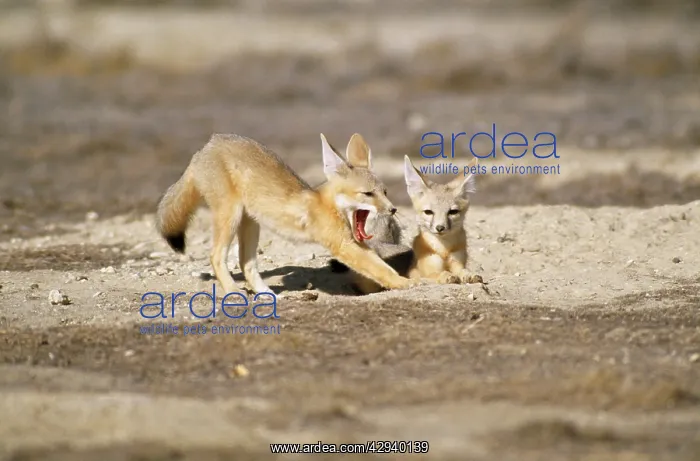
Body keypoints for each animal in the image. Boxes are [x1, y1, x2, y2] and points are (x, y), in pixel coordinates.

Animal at [155, 132, 422, 296]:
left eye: (385, 192)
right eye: (367, 194)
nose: (393, 209)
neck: (326, 205)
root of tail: (207, 146)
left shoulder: (354, 242)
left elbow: (380, 265)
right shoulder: (343, 245)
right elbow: (379, 269)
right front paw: (404, 283)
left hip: (250, 223)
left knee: (246, 263)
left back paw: (266, 294)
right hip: (230, 217)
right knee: (216, 257)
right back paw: (232, 291)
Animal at [330, 155, 483, 294]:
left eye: (453, 212)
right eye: (428, 212)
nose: (440, 228)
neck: (444, 250)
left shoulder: (458, 263)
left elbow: (463, 271)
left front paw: (469, 275)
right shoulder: (418, 272)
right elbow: (433, 275)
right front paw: (446, 276)